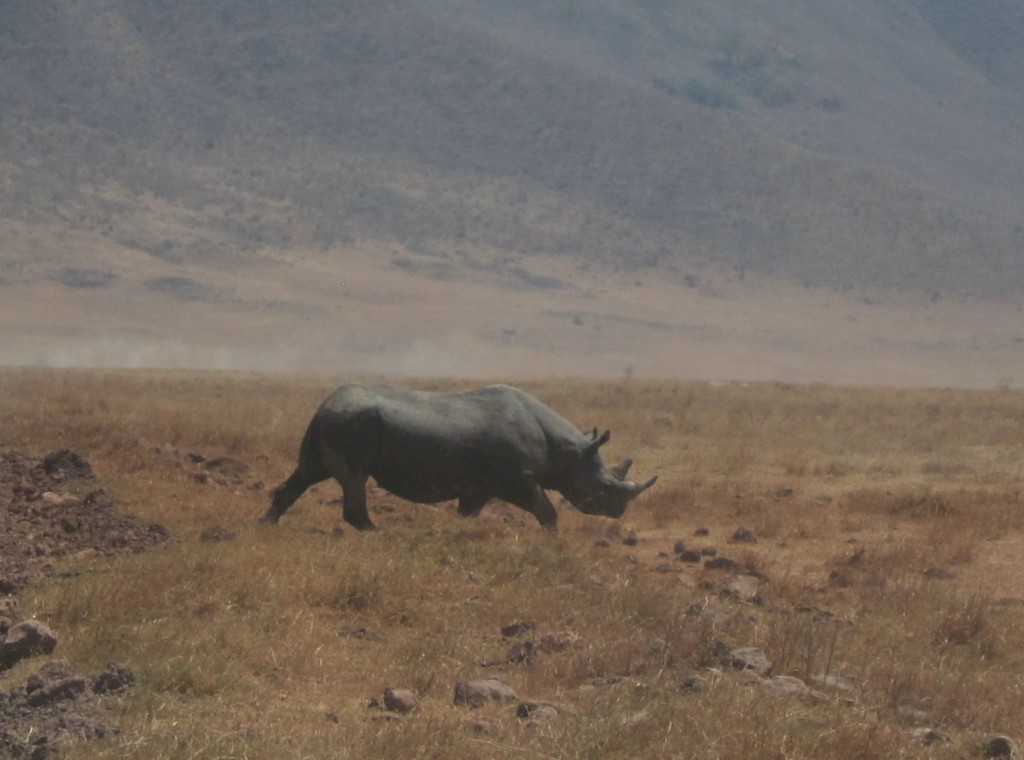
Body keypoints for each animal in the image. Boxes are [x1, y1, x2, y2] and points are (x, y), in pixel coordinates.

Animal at [262, 387, 655, 528]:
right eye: (602, 488)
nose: (619, 513)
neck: (572, 451)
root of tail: (323, 407)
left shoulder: (479, 487)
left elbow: (468, 512)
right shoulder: (519, 480)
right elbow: (546, 510)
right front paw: (552, 536)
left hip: (331, 426)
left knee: (306, 474)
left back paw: (266, 525)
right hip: (350, 427)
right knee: (353, 480)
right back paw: (376, 532)